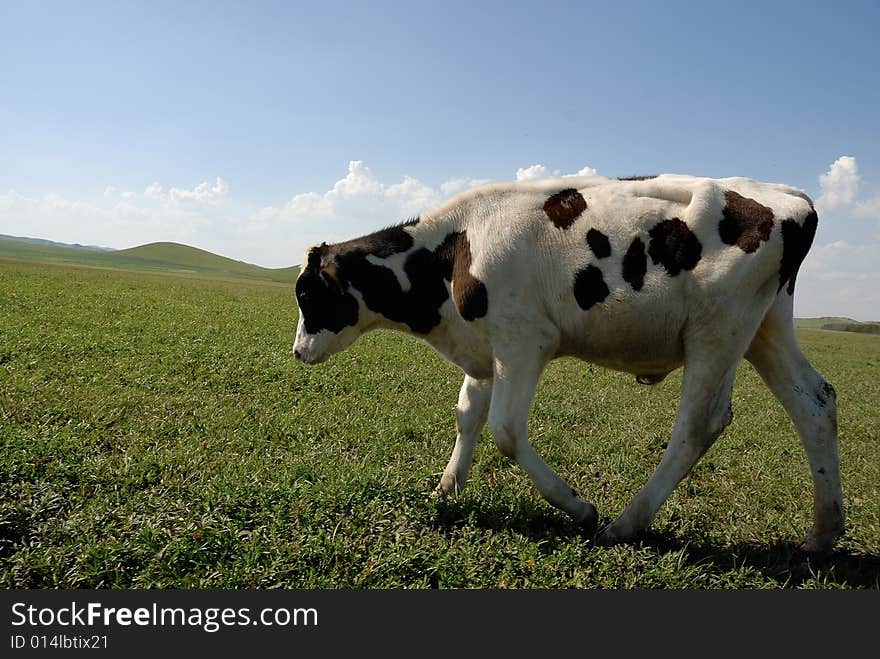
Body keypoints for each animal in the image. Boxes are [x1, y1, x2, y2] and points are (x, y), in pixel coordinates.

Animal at [290, 175, 844, 552]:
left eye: (307, 294)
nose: (297, 351)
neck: (454, 250)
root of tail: (790, 196)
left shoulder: (522, 340)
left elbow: (505, 430)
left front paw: (577, 507)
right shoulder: (485, 348)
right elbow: (467, 415)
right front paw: (446, 489)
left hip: (717, 329)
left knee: (698, 425)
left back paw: (626, 523)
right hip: (765, 325)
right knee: (815, 403)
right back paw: (823, 532)